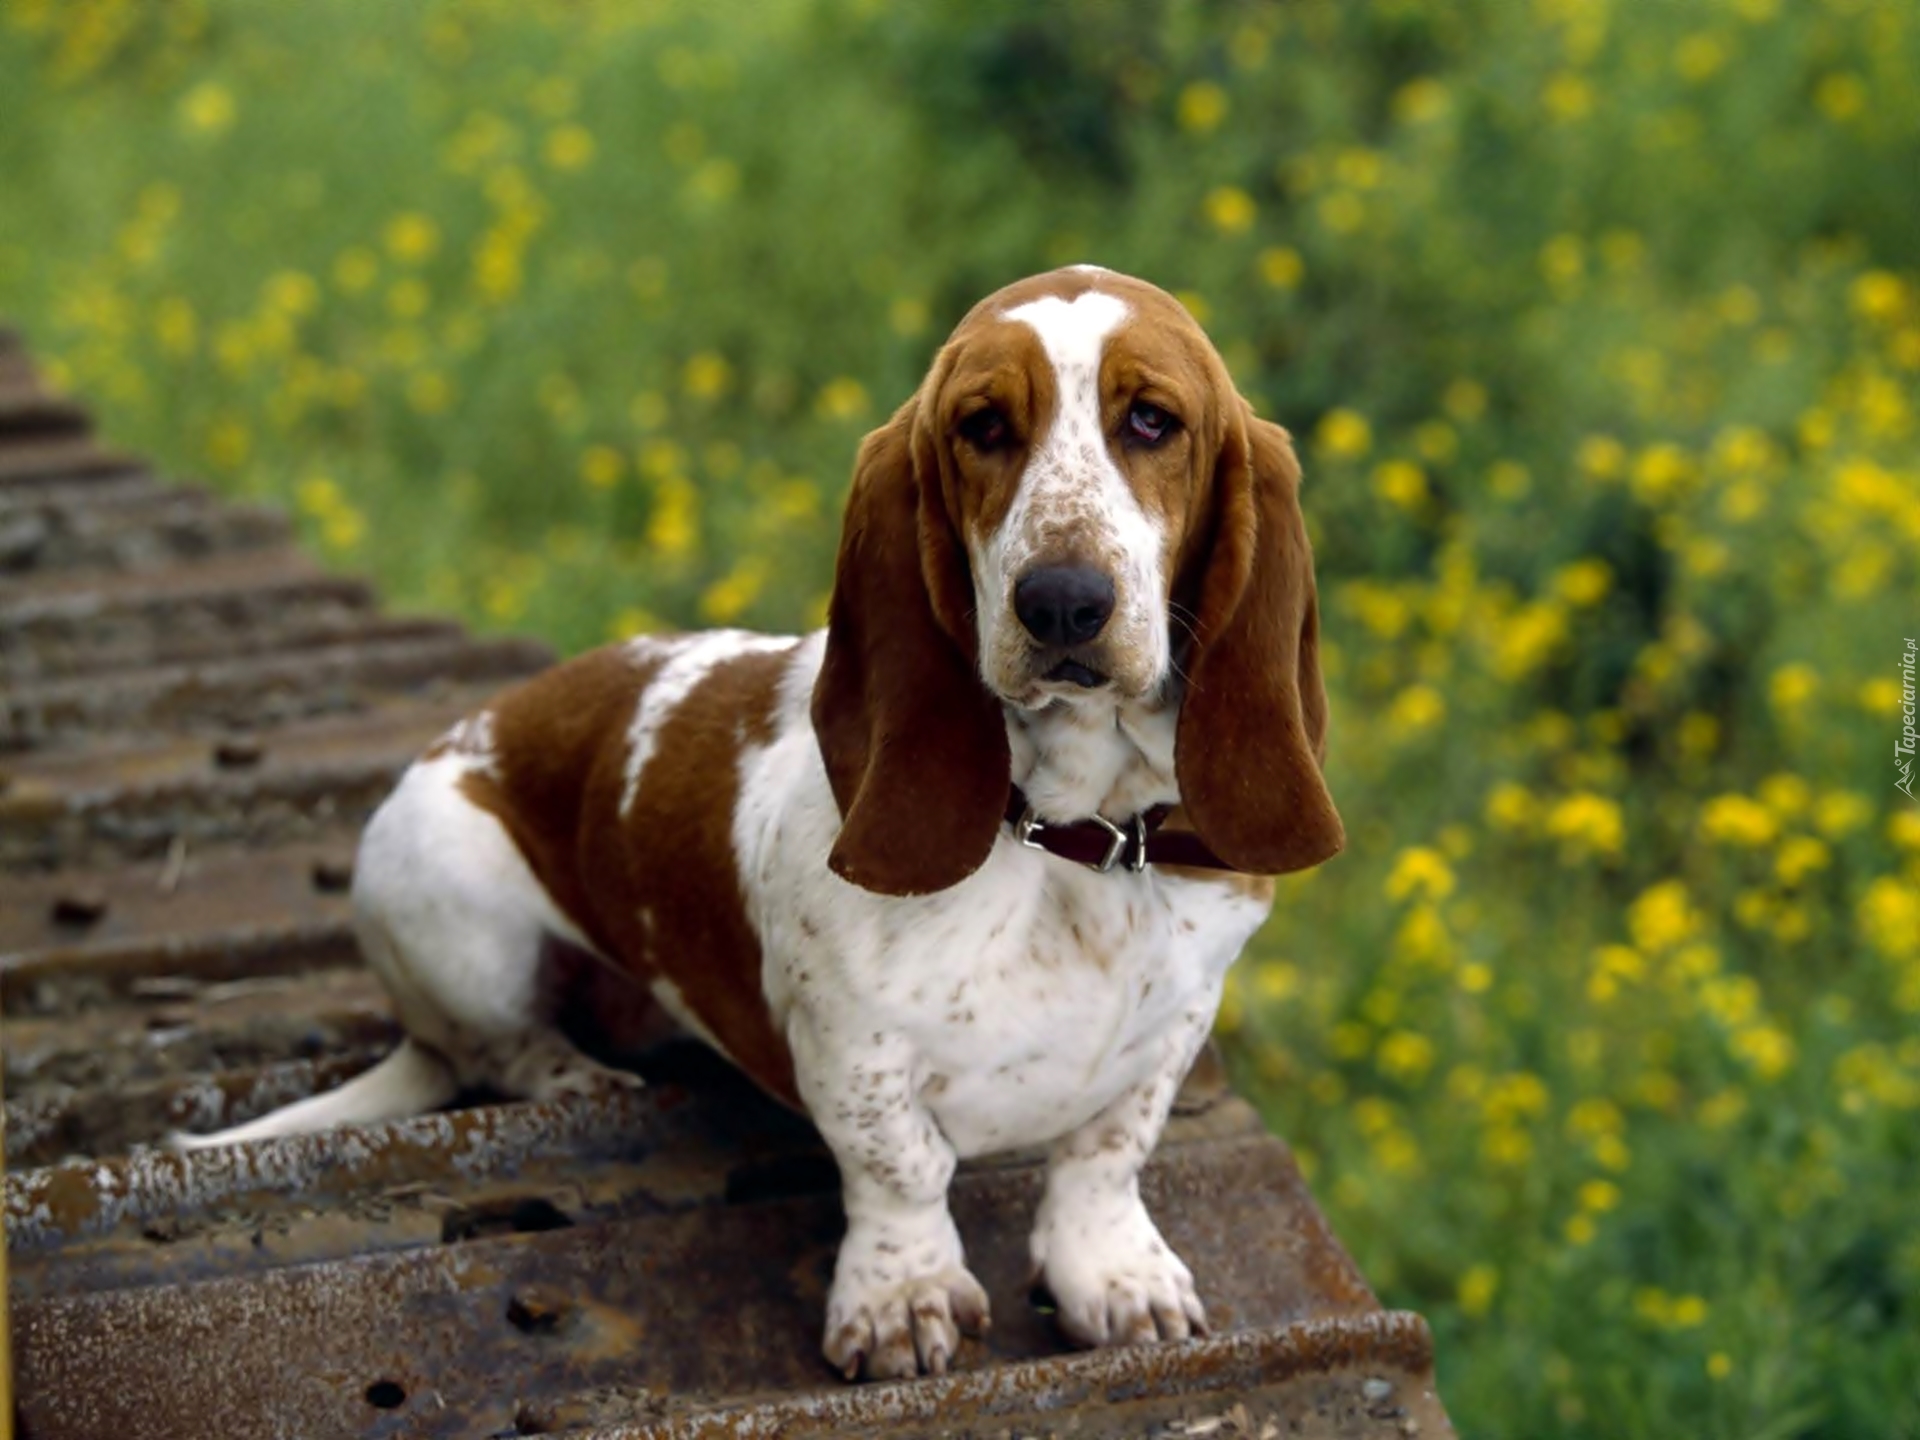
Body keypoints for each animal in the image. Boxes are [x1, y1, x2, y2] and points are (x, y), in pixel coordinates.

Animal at [183, 264, 1351, 1382]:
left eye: (1152, 420)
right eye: (982, 426)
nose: (1061, 601)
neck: (1069, 842)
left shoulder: (1174, 1022)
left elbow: (1105, 1154)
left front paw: (1110, 1274)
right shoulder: (850, 1046)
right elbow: (901, 1167)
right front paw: (902, 1297)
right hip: (448, 899)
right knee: (497, 1048)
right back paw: (578, 1074)